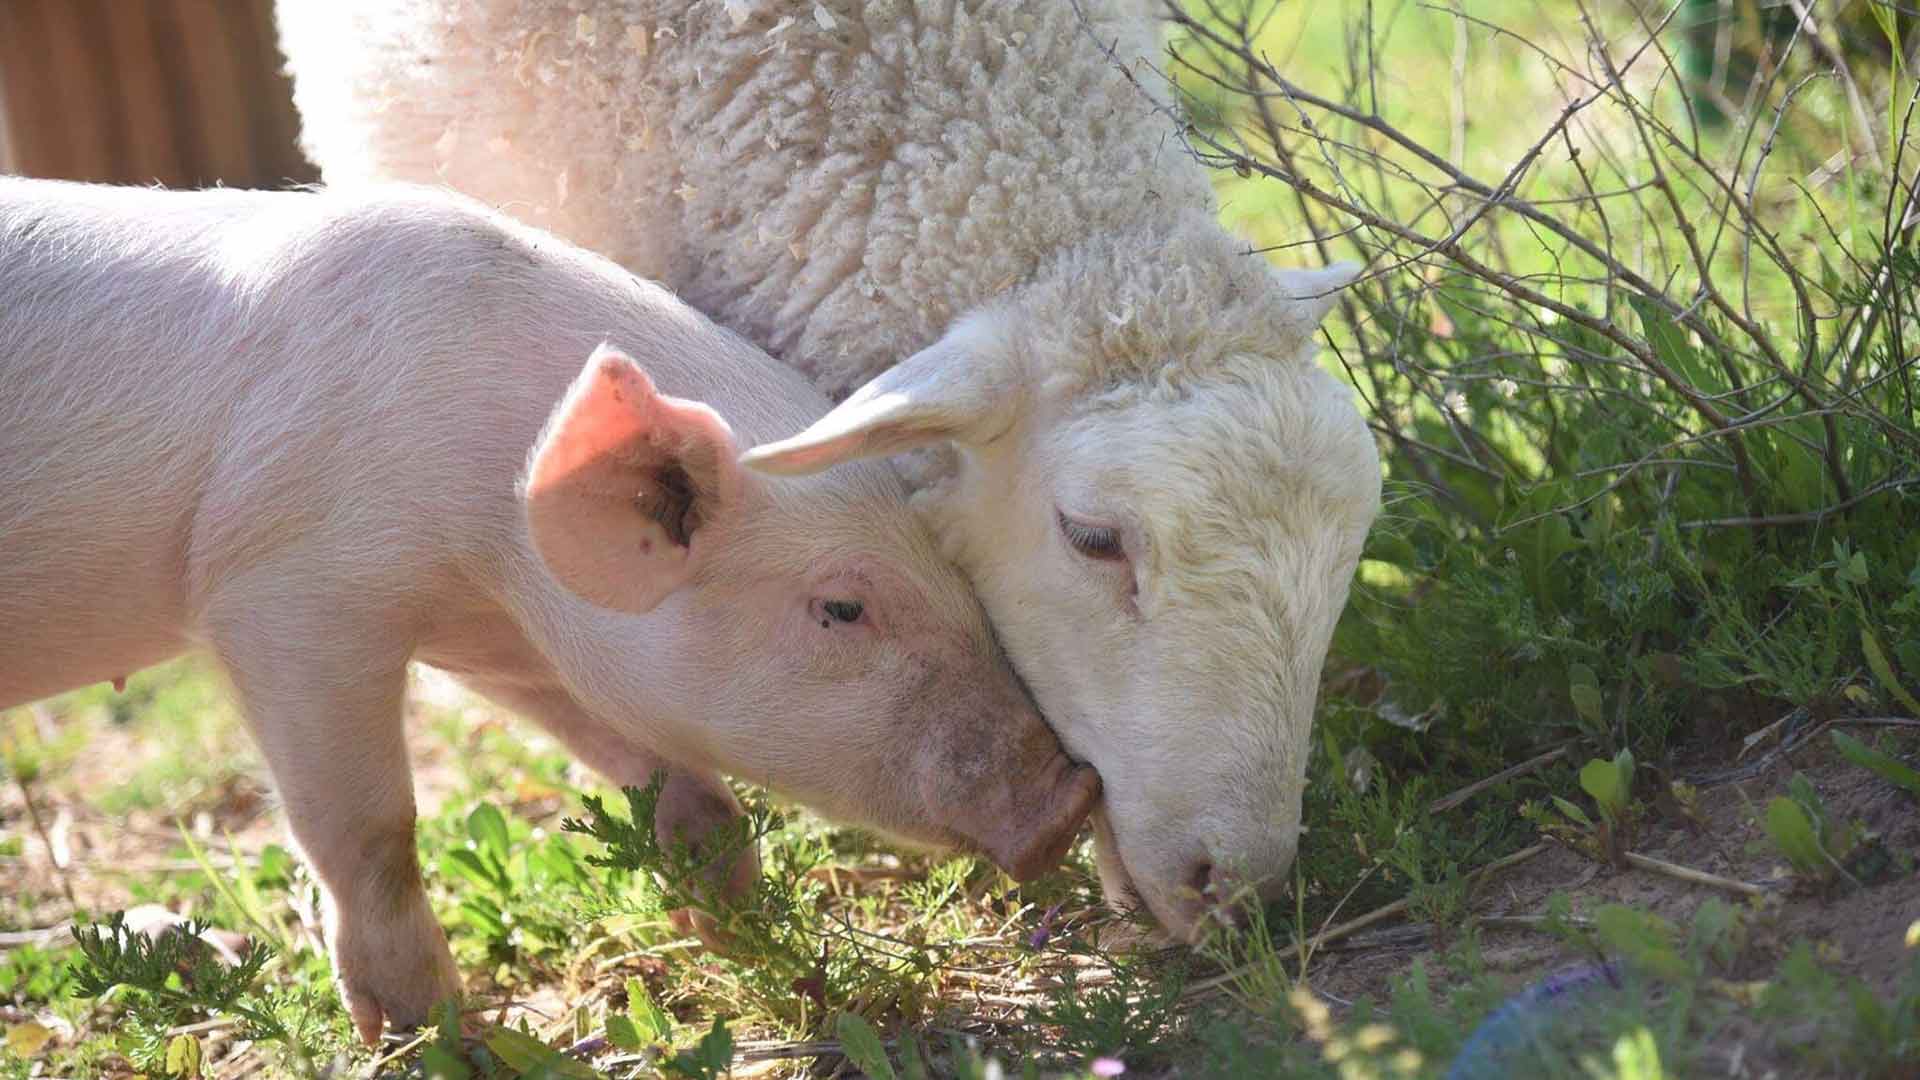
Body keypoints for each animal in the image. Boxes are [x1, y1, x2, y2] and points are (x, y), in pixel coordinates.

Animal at [0, 174, 1098, 1037]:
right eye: (841, 608)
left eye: (958, 571)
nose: (1071, 799)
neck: (483, 532)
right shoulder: (282, 591)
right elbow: (372, 828)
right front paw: (433, 1031)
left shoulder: (499, 634)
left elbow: (666, 773)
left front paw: (741, 932)